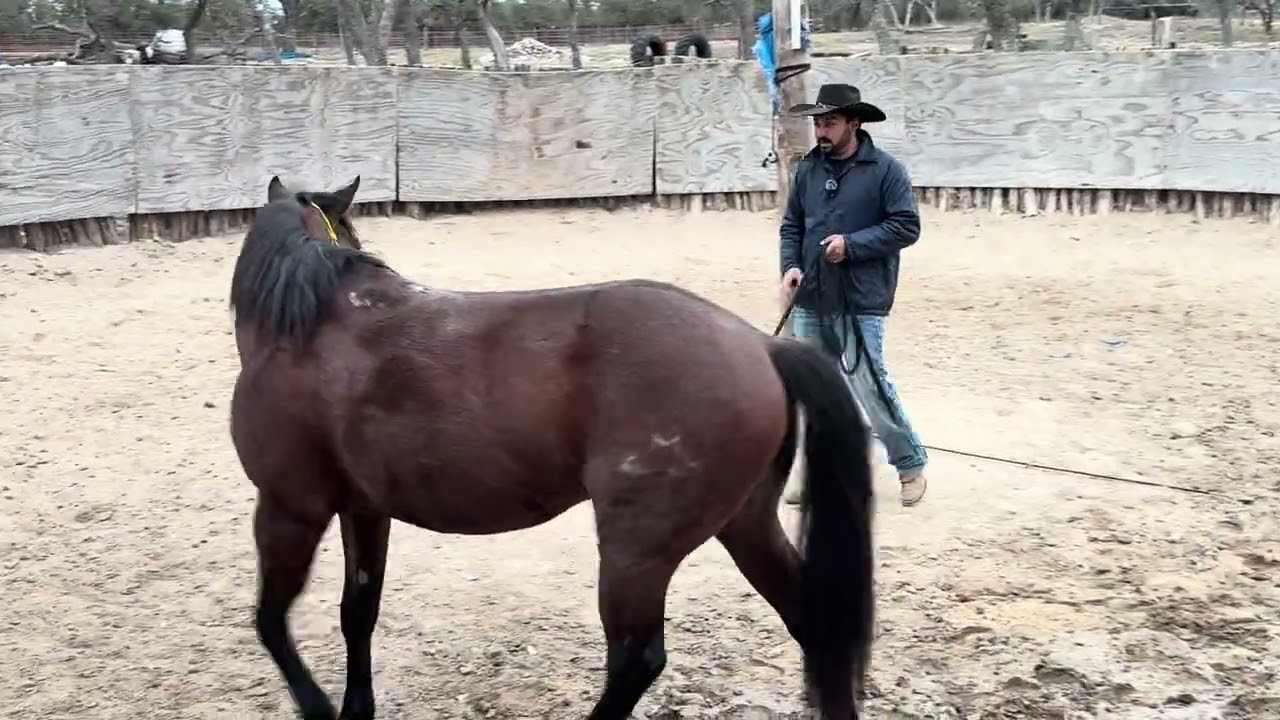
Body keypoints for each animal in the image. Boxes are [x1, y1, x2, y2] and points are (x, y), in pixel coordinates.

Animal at [228, 175, 877, 719]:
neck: (313, 325)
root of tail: (761, 346)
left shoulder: (290, 506)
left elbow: (269, 622)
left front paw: (317, 706)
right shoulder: (363, 511)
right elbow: (357, 614)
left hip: (636, 552)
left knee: (636, 659)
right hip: (744, 524)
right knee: (813, 621)